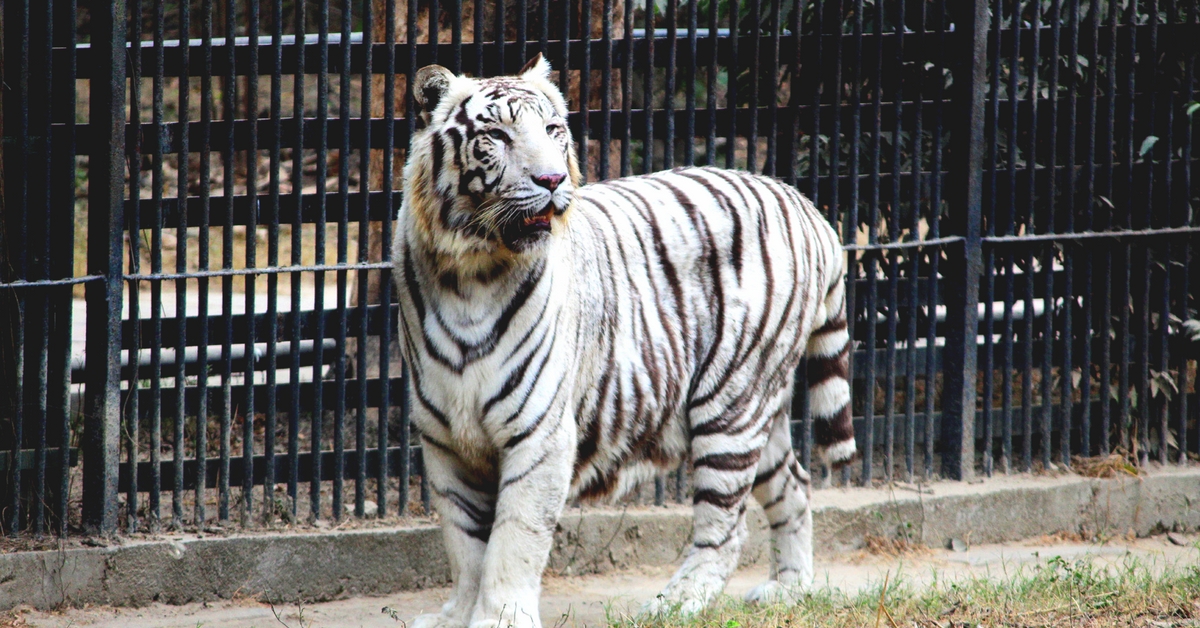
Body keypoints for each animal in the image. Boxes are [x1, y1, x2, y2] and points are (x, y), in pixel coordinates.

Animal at [391, 55, 854, 628]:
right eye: (496, 135)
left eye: (553, 129)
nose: (551, 179)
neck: (468, 275)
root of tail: (804, 204)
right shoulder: (444, 440)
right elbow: (464, 542)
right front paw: (458, 615)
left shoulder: (540, 434)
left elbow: (513, 540)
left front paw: (501, 616)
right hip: (761, 410)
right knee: (795, 485)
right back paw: (789, 589)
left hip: (731, 405)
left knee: (726, 525)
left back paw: (677, 602)